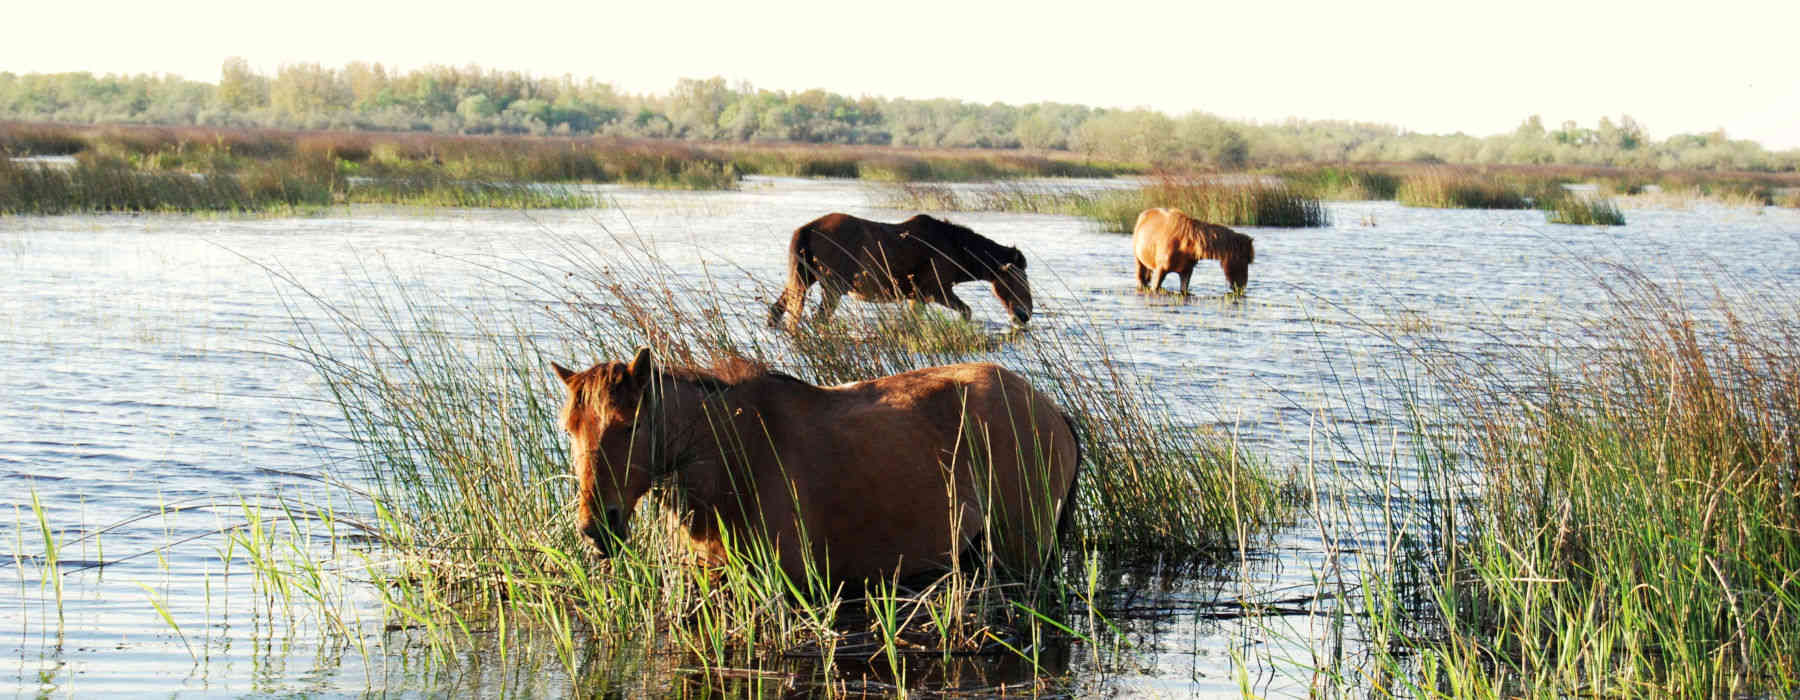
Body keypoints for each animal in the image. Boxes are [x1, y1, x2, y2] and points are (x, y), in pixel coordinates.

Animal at [766, 212, 1036, 329]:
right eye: (1020, 280)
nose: (1024, 315)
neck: (953, 246)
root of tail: (808, 228)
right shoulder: (935, 291)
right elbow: (966, 312)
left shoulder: (918, 296)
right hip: (832, 288)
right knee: (818, 318)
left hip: (804, 279)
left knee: (777, 310)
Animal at [1130, 206, 1260, 295]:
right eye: (1244, 259)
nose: (1242, 286)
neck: (1186, 244)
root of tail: (1144, 214)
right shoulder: (1160, 270)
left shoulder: (1186, 272)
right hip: (1139, 261)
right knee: (1140, 279)